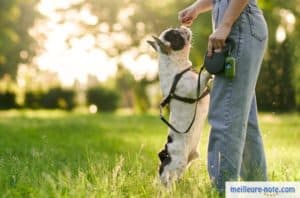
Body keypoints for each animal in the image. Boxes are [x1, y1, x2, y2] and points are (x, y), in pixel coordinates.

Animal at [148, 26, 211, 186]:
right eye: (176, 35)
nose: (183, 27)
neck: (178, 64)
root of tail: (165, 155)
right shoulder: (193, 88)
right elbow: (204, 76)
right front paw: (209, 71)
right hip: (177, 164)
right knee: (168, 181)